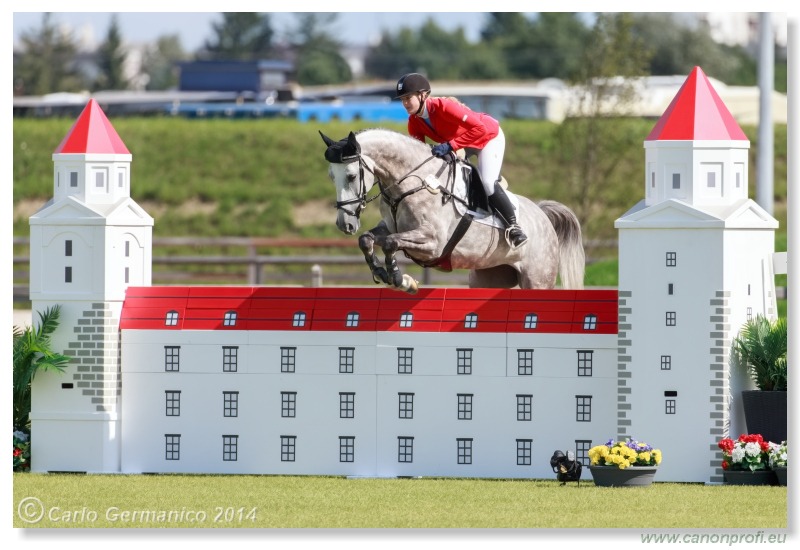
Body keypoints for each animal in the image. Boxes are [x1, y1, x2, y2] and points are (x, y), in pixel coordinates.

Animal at [320, 129, 588, 296]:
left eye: (351, 176)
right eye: (331, 176)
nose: (345, 224)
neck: (410, 182)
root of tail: (543, 215)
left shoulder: (432, 243)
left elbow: (390, 243)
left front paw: (399, 279)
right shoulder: (391, 227)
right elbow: (367, 239)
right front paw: (381, 271)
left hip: (537, 279)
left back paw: (517, 233)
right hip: (488, 278)